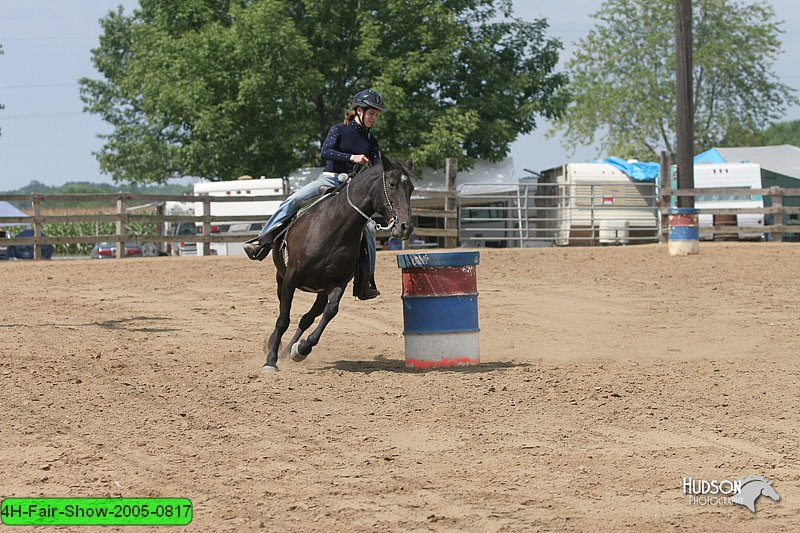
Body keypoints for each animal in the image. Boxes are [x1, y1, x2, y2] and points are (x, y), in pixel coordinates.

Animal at [262, 156, 416, 372]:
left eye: (411, 188)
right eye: (392, 184)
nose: (405, 227)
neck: (333, 227)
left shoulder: (338, 281)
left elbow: (330, 311)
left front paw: (302, 349)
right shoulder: (291, 277)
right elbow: (283, 318)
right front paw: (270, 361)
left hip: (320, 291)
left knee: (308, 317)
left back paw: (290, 350)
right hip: (281, 279)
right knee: (284, 310)